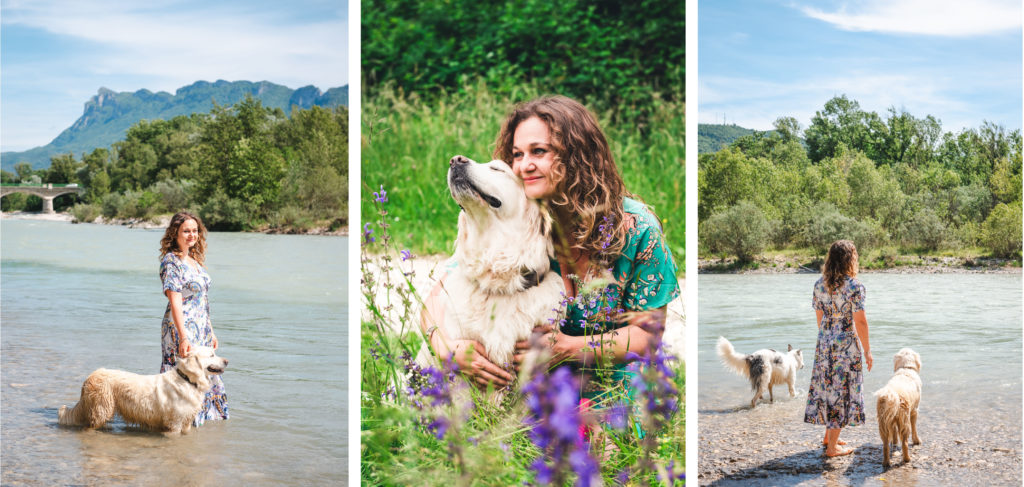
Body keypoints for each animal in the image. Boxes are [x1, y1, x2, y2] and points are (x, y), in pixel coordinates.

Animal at [57, 343, 229, 435]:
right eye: (212, 355)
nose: (227, 361)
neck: (187, 379)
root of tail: (90, 376)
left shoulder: (186, 423)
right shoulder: (174, 424)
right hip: (102, 407)